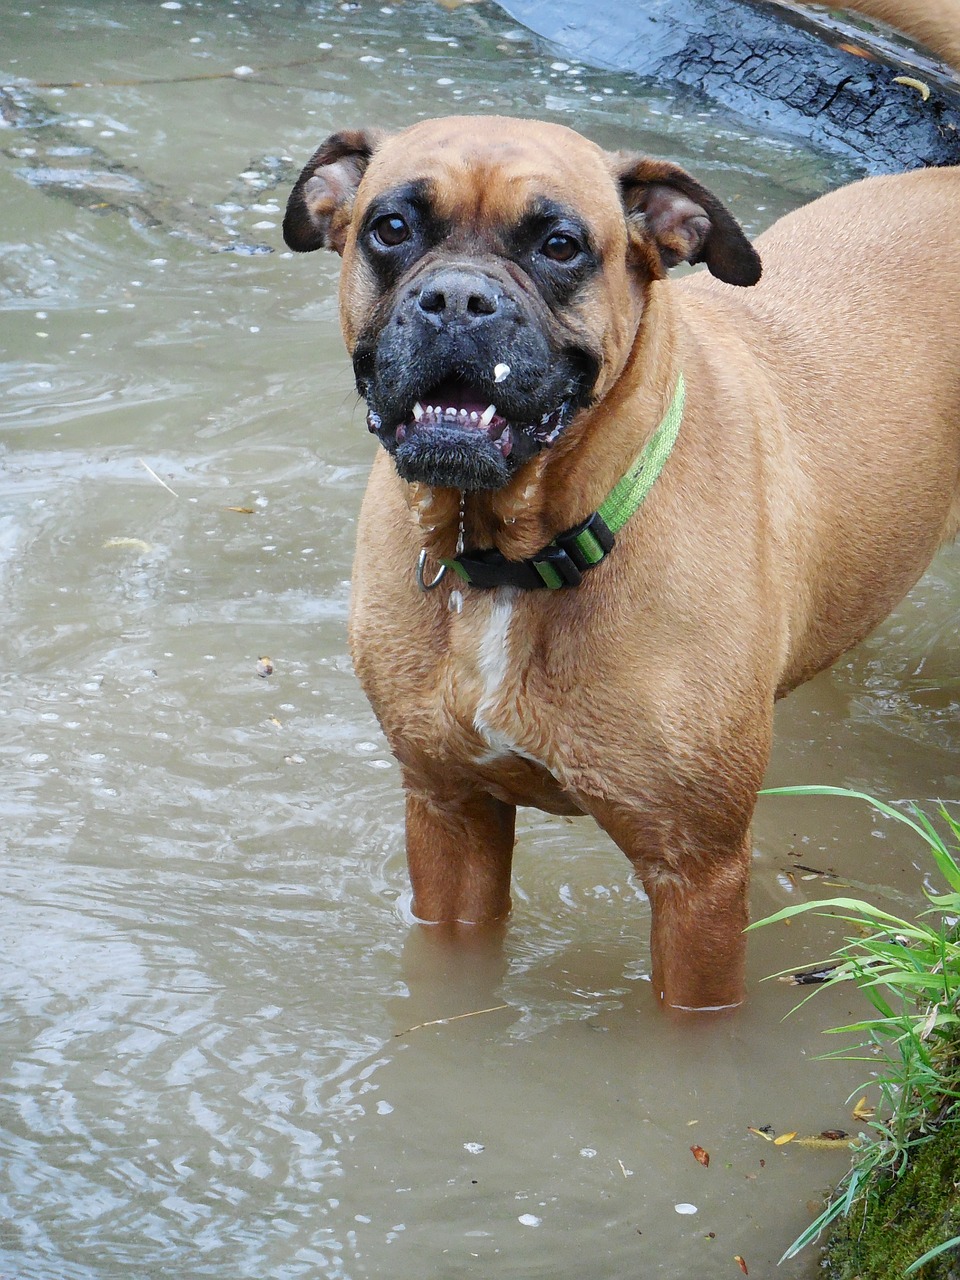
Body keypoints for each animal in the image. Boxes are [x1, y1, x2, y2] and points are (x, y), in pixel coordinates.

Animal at [284, 22, 960, 1008]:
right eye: (391, 228)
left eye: (562, 244)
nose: (456, 299)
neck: (516, 557)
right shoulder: (449, 817)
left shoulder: (699, 879)